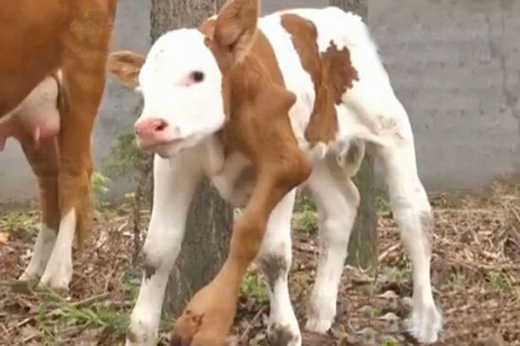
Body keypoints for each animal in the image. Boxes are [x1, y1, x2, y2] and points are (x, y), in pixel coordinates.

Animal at [107, 0, 440, 346]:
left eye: (197, 74)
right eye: (143, 87)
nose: (148, 127)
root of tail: (339, 14)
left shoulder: (283, 163)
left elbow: (268, 249)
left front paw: (275, 329)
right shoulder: (175, 165)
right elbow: (158, 250)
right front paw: (140, 332)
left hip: (387, 125)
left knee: (414, 213)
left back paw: (425, 319)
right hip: (316, 154)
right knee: (342, 204)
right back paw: (321, 311)